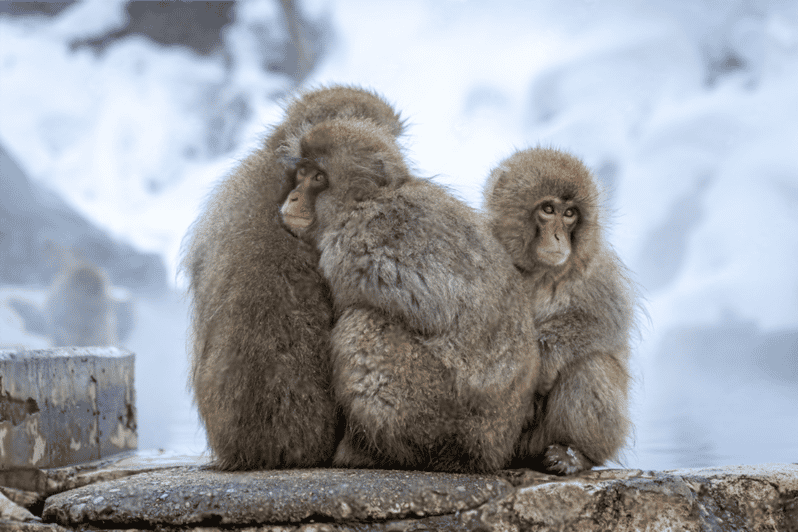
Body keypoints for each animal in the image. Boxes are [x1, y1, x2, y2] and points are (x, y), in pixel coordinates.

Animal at [282, 117, 544, 474]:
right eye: (302, 172)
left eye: (319, 178)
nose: (293, 197)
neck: (364, 201)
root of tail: (492, 450)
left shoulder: (353, 245)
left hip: (438, 414)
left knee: (363, 324)